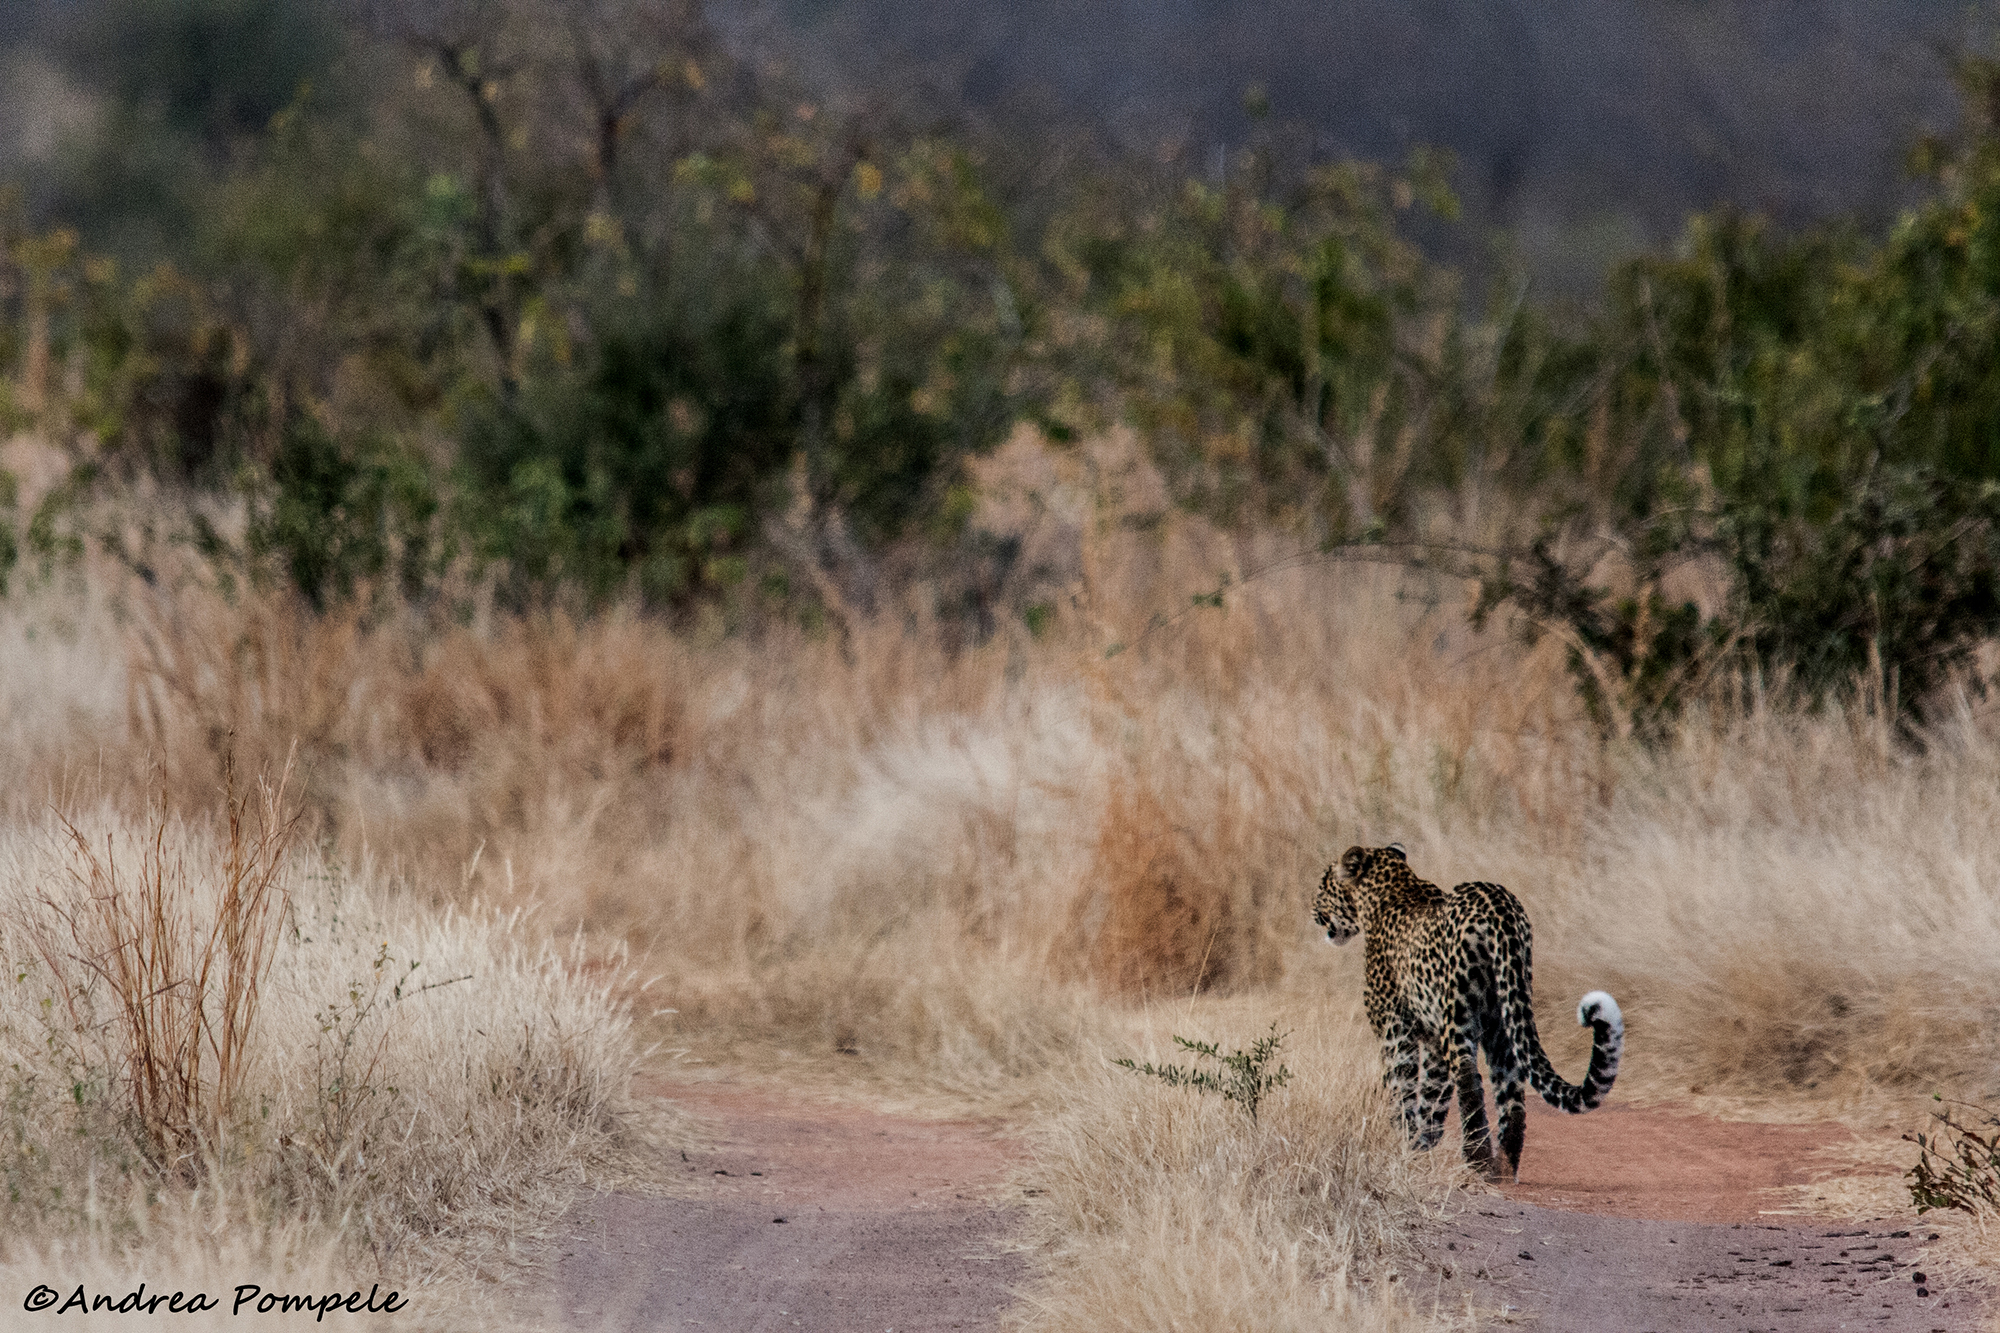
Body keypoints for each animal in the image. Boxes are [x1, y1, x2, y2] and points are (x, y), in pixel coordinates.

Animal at [1312, 840, 1624, 1176]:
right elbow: (1433, 1096)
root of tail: (1499, 907)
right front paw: (1423, 1145)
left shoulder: (1395, 1031)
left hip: (1459, 1011)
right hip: (1505, 1011)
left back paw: (1477, 1159)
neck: (1389, 889)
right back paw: (1504, 1166)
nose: (1314, 910)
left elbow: (1403, 1090)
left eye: (1323, 884)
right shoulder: (1432, 1037)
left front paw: (1405, 1141)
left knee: (1468, 1076)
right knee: (1510, 1085)